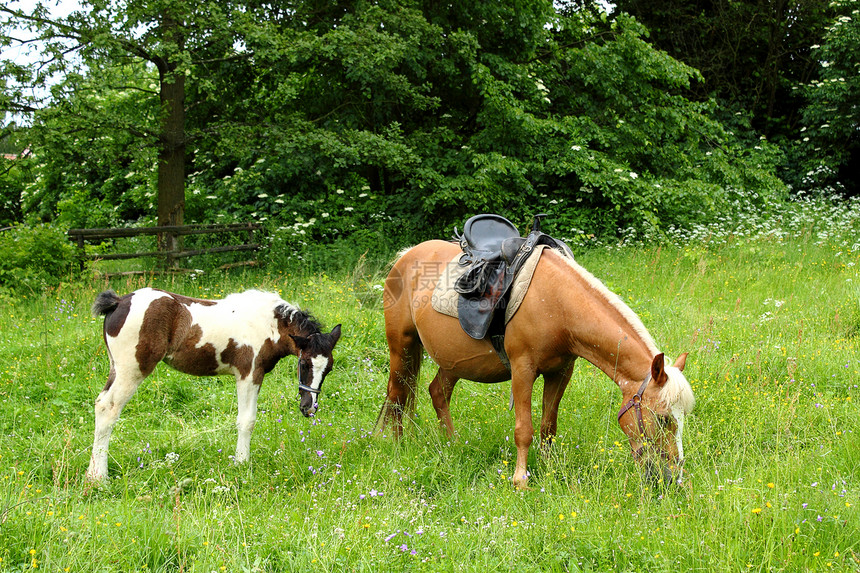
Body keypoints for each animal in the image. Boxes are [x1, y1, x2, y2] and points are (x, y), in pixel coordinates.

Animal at [86, 288, 342, 480]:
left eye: (328, 369)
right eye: (304, 364)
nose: (309, 408)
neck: (268, 324)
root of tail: (119, 302)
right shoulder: (249, 374)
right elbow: (246, 421)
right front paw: (241, 464)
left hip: (116, 368)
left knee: (100, 404)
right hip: (131, 370)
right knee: (108, 408)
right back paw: (99, 477)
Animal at [376, 240, 692, 488]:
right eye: (663, 419)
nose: (672, 478)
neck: (557, 303)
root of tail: (406, 255)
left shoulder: (560, 372)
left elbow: (547, 426)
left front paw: (549, 470)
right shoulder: (522, 371)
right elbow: (524, 430)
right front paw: (521, 481)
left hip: (452, 361)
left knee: (437, 392)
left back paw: (452, 444)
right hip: (401, 348)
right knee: (397, 397)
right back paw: (398, 447)